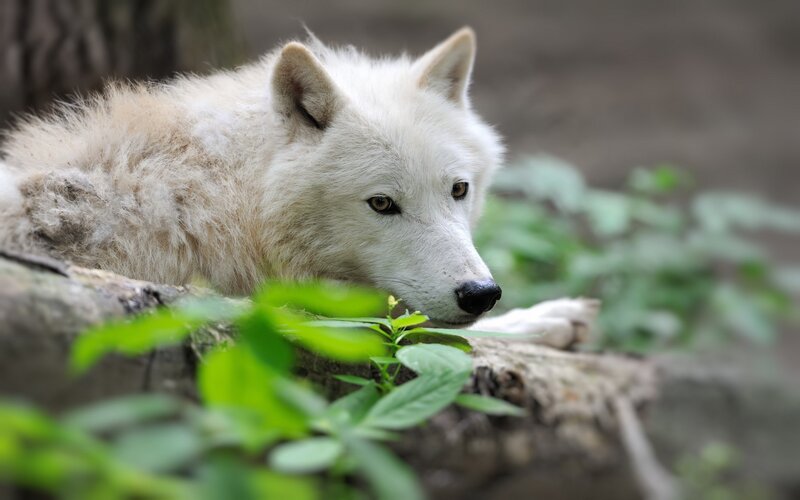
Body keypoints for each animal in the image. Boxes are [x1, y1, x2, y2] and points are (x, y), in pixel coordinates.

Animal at [0, 28, 596, 347]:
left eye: (458, 190)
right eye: (382, 203)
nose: (481, 293)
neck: (224, 198)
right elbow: (433, 333)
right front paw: (543, 320)